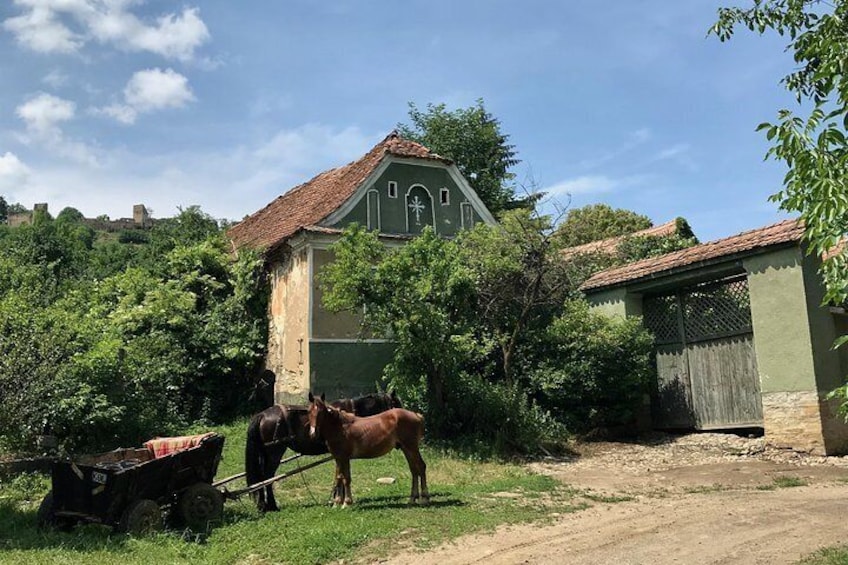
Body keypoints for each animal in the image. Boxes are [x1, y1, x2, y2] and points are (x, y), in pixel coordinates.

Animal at [245, 390, 404, 512]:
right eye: (397, 404)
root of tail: (262, 415)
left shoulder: (339, 454)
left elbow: (339, 475)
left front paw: (337, 498)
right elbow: (342, 475)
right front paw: (339, 499)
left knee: (262, 478)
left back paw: (263, 505)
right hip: (274, 452)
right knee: (267, 477)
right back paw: (271, 505)